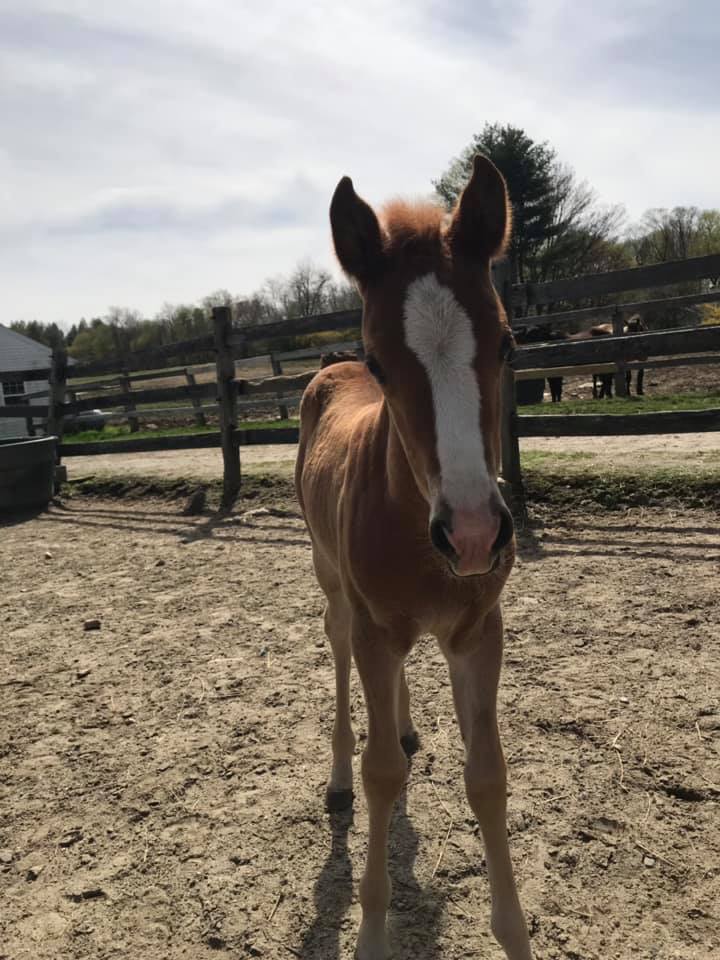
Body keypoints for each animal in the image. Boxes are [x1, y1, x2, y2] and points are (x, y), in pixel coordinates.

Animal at [296, 155, 533, 960]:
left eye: (507, 343)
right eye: (380, 358)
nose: (473, 533)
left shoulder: (478, 632)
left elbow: (487, 775)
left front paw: (515, 934)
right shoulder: (375, 626)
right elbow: (381, 776)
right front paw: (371, 932)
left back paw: (400, 721)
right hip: (334, 586)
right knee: (339, 654)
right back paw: (337, 775)